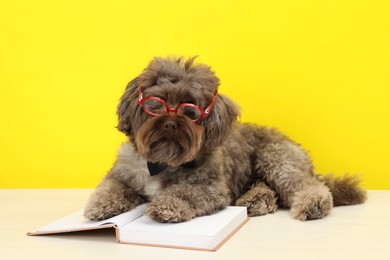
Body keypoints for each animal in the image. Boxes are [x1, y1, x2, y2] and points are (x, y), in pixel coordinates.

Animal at [84, 57, 368, 223]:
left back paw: (312, 205)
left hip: (276, 159)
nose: (170, 122)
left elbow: (184, 192)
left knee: (306, 187)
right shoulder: (121, 173)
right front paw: (101, 205)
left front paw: (165, 206)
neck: (164, 161)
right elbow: (111, 187)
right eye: (157, 102)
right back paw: (255, 201)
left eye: (191, 108)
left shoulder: (211, 188)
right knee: (269, 192)